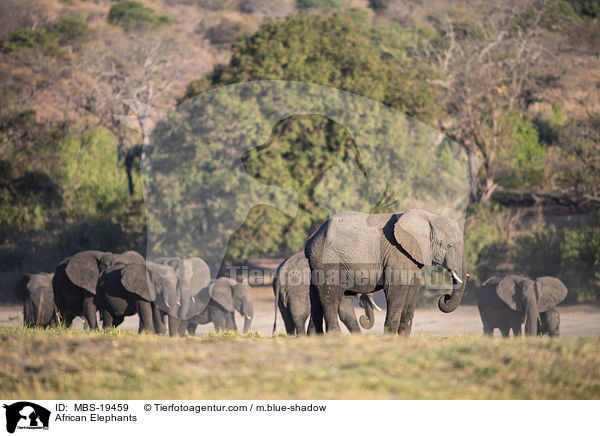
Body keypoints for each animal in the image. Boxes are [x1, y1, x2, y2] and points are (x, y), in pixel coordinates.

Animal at [304, 209, 468, 336]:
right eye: (449, 245)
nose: (445, 298)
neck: (428, 216)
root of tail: (312, 238)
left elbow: (412, 292)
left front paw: (403, 338)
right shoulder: (397, 252)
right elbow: (396, 290)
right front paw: (390, 338)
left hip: (317, 264)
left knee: (316, 299)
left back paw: (315, 338)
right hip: (327, 261)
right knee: (330, 297)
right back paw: (334, 336)